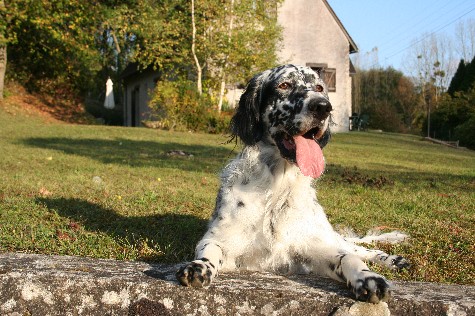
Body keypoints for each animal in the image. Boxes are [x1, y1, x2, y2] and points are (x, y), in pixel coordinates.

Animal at [177, 65, 408, 304]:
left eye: (319, 88)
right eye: (284, 85)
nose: (323, 107)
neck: (276, 189)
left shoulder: (312, 249)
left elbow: (347, 258)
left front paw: (368, 278)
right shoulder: (224, 241)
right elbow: (210, 249)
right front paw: (199, 267)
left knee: (358, 248)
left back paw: (392, 259)